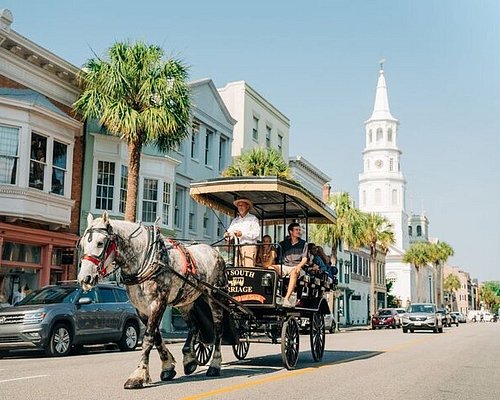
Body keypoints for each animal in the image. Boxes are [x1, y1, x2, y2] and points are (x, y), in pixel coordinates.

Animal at [78, 212, 227, 388]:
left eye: (100, 243)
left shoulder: (158, 303)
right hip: (186, 301)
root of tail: (214, 251)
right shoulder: (141, 308)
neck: (145, 259)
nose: (85, 278)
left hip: (216, 297)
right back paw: (189, 360)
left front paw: (138, 375)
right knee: (194, 326)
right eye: (82, 244)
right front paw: (168, 366)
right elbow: (156, 336)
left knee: (218, 330)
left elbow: (148, 337)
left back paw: (215, 365)